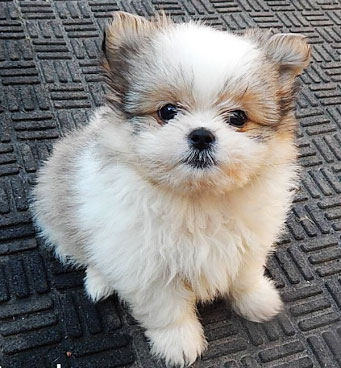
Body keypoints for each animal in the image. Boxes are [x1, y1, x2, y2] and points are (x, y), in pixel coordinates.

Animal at [30, 12, 310, 368]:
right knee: (85, 251)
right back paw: (99, 281)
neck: (198, 199)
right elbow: (166, 310)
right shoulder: (145, 266)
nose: (202, 135)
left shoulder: (249, 242)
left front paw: (257, 300)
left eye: (237, 117)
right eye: (167, 111)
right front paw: (179, 343)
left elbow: (245, 275)